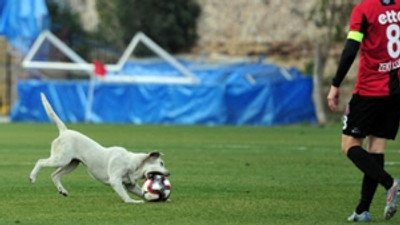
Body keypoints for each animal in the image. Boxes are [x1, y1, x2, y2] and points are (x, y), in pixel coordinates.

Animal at [29, 92, 170, 203]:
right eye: (161, 163)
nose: (169, 173)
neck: (133, 163)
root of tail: (64, 131)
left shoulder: (131, 185)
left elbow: (142, 192)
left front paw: (163, 199)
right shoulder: (115, 180)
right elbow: (125, 195)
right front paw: (133, 201)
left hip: (71, 164)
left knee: (54, 175)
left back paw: (62, 190)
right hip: (61, 160)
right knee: (41, 161)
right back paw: (32, 177)